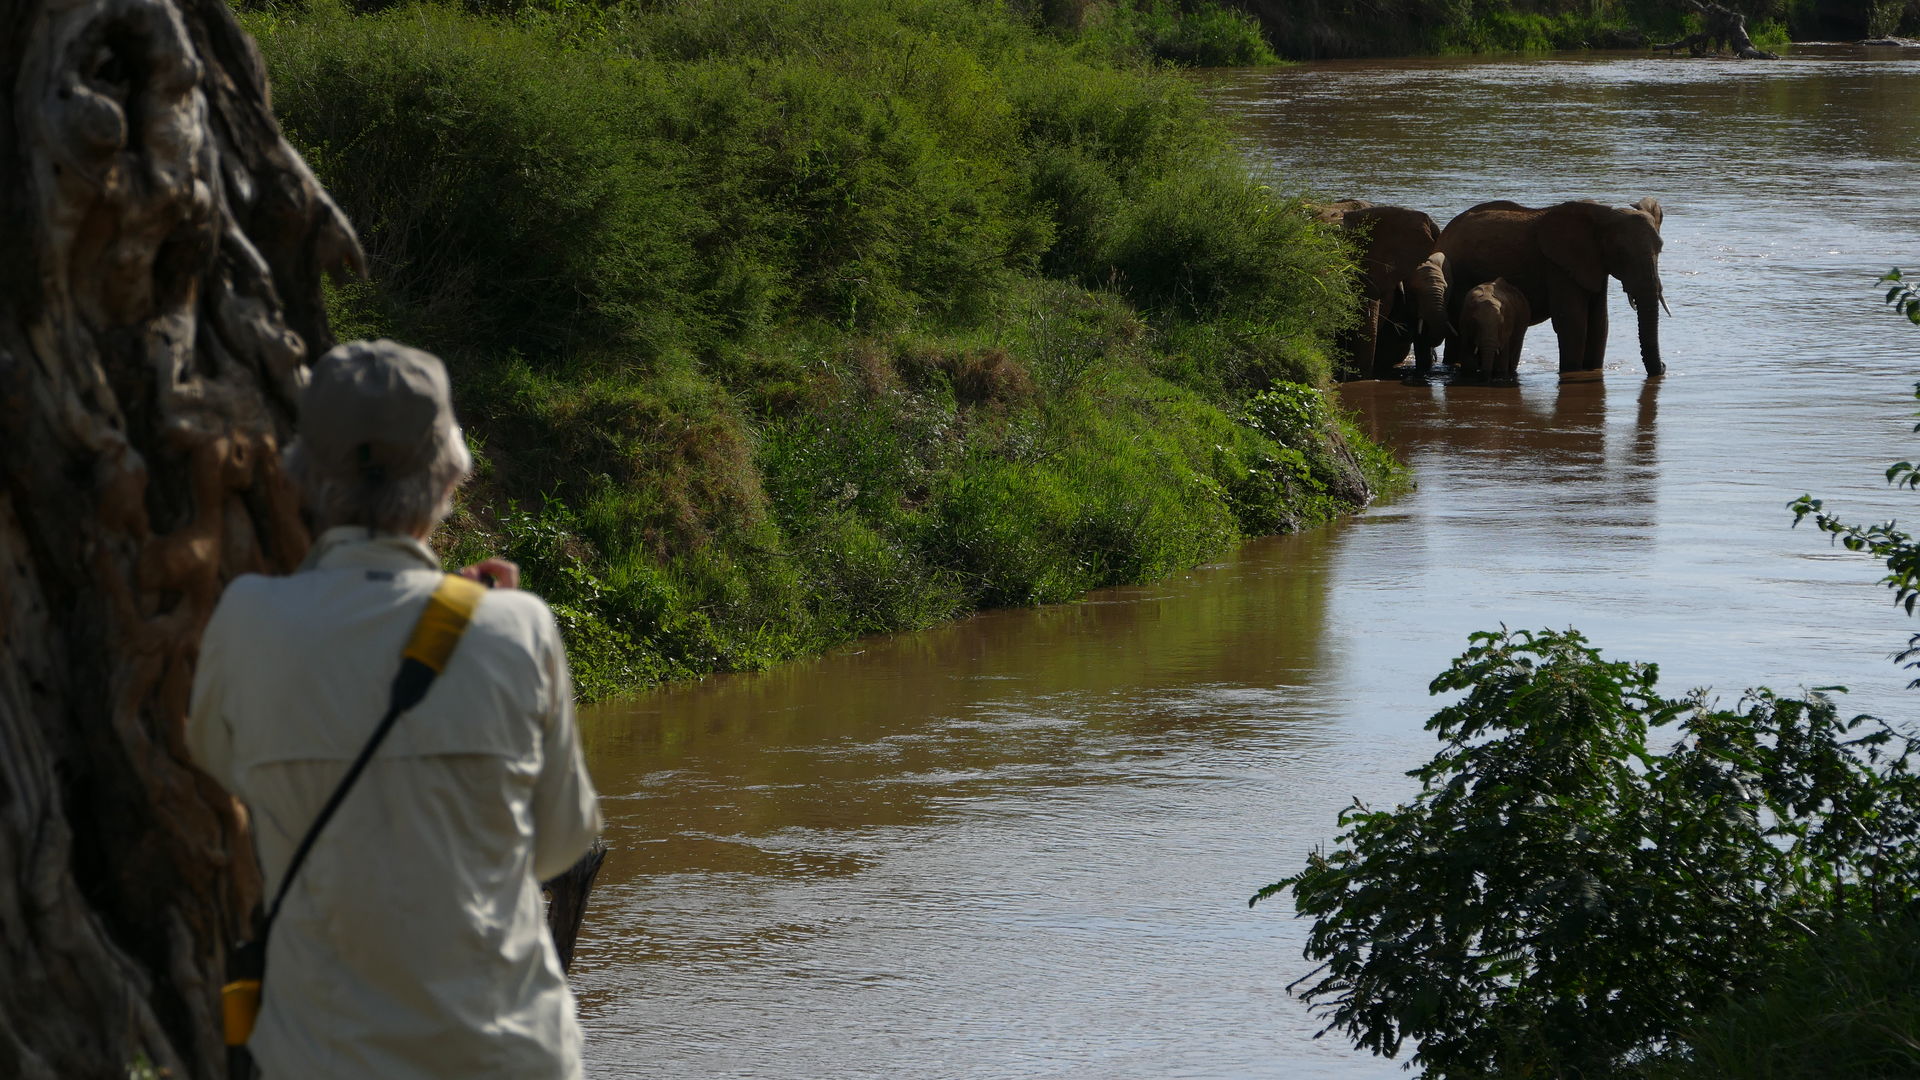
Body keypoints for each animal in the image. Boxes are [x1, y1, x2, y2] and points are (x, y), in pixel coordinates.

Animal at [1436, 197, 1674, 378]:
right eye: (1620, 253)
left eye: (1661, 248)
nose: (1664, 367)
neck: (1602, 216)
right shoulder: (1558, 265)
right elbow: (1574, 323)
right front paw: (1573, 372)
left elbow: (1599, 324)